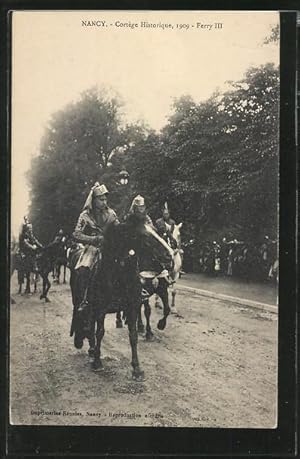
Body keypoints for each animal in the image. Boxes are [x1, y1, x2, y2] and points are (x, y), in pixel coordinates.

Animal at [67, 220, 171, 380]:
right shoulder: (100, 309)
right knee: (87, 321)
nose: (169, 255)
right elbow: (99, 332)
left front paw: (136, 368)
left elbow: (133, 335)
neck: (116, 274)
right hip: (80, 300)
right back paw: (90, 348)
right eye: (140, 235)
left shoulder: (133, 305)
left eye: (156, 231)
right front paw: (97, 362)